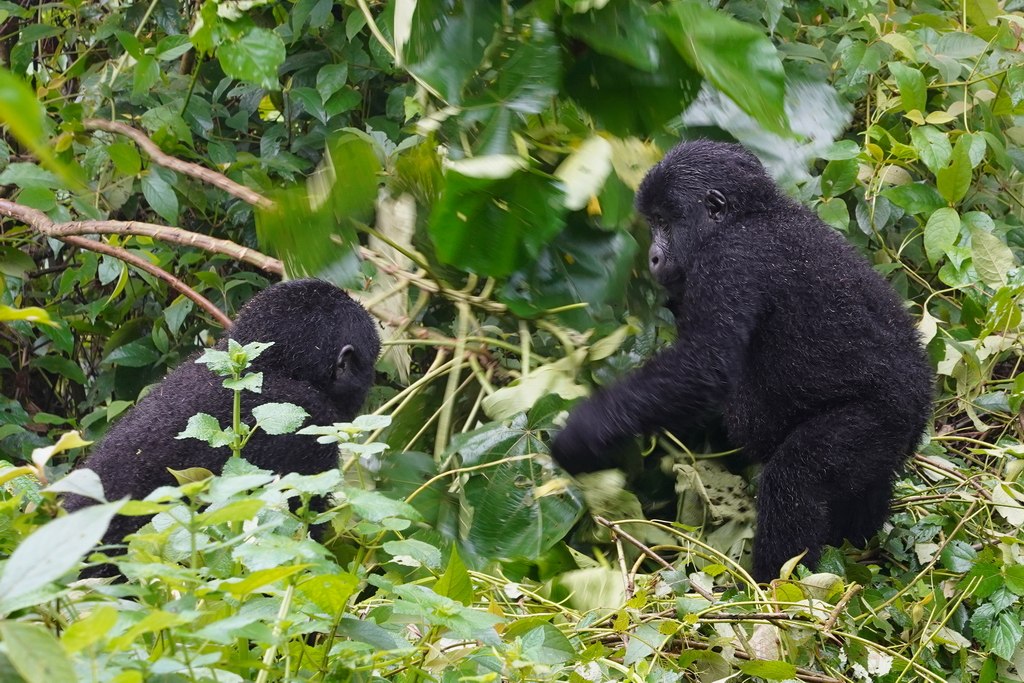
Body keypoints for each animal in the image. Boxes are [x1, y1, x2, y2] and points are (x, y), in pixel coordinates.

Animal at [552, 139, 937, 581]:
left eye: (664, 221)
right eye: (653, 223)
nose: (652, 257)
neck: (751, 214)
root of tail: (924, 402)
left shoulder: (730, 261)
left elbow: (703, 366)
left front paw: (582, 435)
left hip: (882, 420)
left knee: (796, 477)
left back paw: (773, 586)